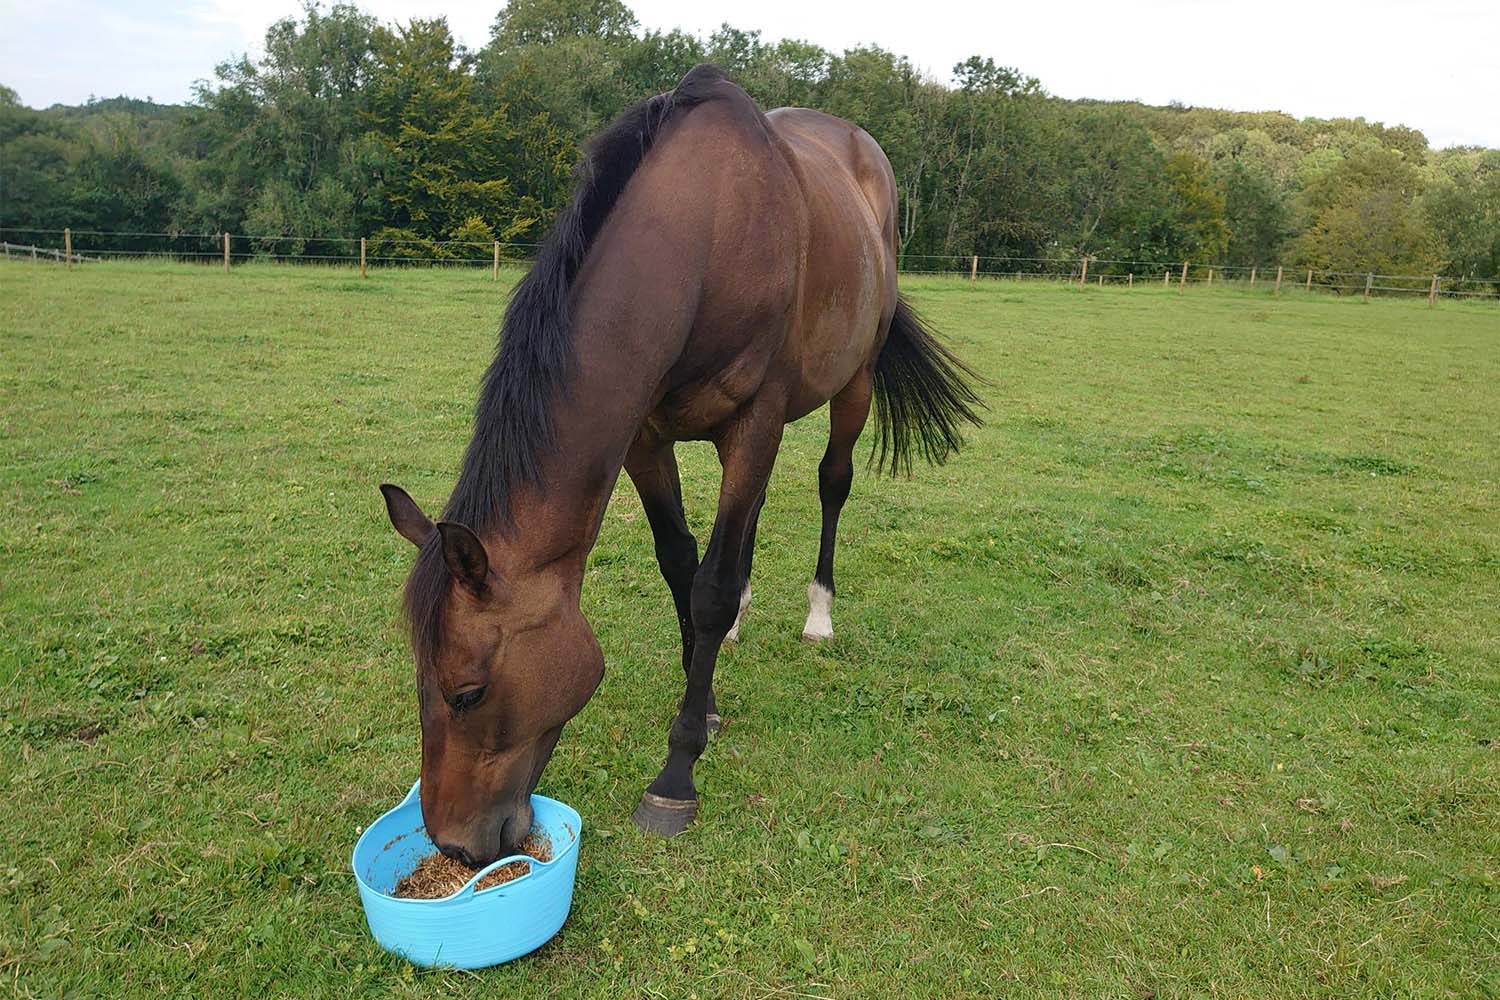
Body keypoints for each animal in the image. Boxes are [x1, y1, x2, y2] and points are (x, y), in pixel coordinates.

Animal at [381, 64, 978, 869]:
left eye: (467, 692)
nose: (454, 843)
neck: (704, 236)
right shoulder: (644, 436)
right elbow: (681, 564)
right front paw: (709, 694)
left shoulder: (755, 421)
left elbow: (711, 587)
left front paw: (677, 772)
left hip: (851, 384)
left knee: (832, 485)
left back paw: (818, 614)